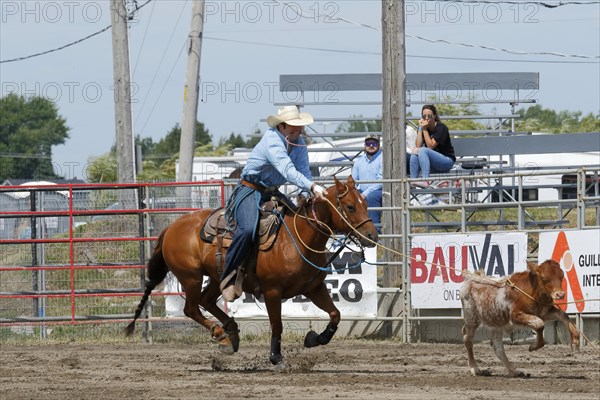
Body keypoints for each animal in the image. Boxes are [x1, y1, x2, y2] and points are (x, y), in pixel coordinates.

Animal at [125, 175, 380, 368]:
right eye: (350, 207)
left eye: (366, 204)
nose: (372, 236)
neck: (297, 239)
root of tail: (171, 228)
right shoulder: (272, 291)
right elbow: (277, 324)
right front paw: (276, 358)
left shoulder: (313, 288)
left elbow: (335, 314)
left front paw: (315, 338)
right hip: (191, 277)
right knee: (191, 308)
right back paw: (221, 335)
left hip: (219, 277)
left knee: (207, 301)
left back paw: (231, 331)